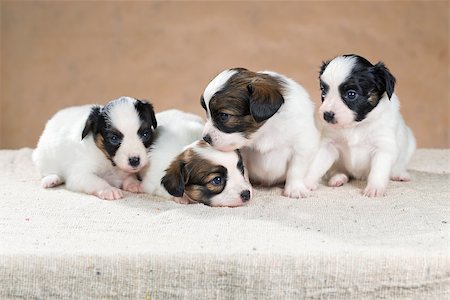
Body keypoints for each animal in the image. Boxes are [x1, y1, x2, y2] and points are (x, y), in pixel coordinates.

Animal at [200, 68, 320, 199]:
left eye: (224, 116)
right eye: (207, 112)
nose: (205, 138)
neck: (264, 132)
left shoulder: (302, 146)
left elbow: (296, 170)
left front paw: (295, 189)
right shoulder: (242, 154)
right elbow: (243, 172)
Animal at [304, 54, 416, 197]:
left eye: (351, 94)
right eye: (323, 90)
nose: (327, 115)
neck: (356, 125)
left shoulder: (383, 148)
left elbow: (378, 171)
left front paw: (374, 189)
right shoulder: (328, 145)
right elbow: (316, 166)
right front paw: (305, 184)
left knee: (399, 166)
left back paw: (400, 174)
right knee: (338, 170)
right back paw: (338, 178)